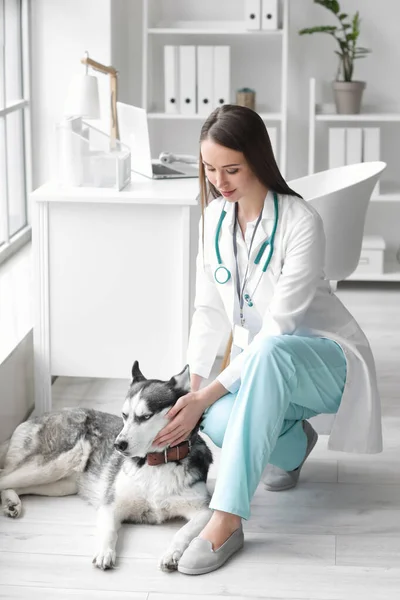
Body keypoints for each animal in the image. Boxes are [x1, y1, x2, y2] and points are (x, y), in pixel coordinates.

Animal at [0, 360, 214, 572]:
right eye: (124, 415)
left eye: (145, 416)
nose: (118, 445)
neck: (156, 463)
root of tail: (40, 416)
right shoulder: (110, 505)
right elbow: (110, 531)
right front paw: (105, 552)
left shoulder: (204, 511)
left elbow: (183, 532)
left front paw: (172, 554)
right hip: (50, 466)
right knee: (4, 476)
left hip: (59, 485)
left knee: (13, 483)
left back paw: (11, 502)